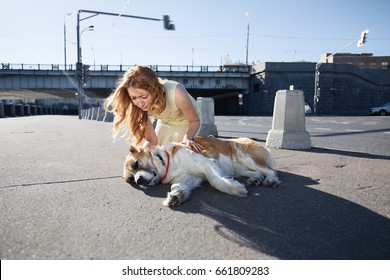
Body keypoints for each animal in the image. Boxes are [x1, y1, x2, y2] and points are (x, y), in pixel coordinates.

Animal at [123, 136, 278, 206]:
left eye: (136, 164)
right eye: (131, 180)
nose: (138, 180)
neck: (167, 162)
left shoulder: (205, 162)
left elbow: (215, 180)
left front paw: (235, 189)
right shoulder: (190, 176)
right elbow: (178, 185)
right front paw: (175, 195)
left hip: (244, 156)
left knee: (270, 170)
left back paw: (270, 180)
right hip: (239, 169)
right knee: (257, 172)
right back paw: (255, 179)